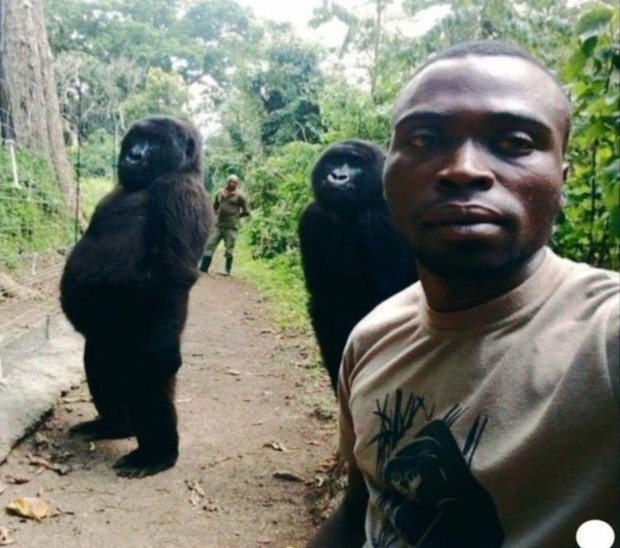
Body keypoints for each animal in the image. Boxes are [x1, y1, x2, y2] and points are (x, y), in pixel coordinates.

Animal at [61, 116, 213, 480]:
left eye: (154, 143)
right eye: (136, 139)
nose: (134, 154)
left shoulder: (177, 191)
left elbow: (171, 276)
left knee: (147, 381)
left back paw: (156, 455)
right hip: (106, 341)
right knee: (98, 361)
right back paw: (114, 424)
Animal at [300, 139, 416, 392]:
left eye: (355, 163)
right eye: (335, 160)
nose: (338, 176)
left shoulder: (377, 221)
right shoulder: (311, 216)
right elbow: (324, 302)